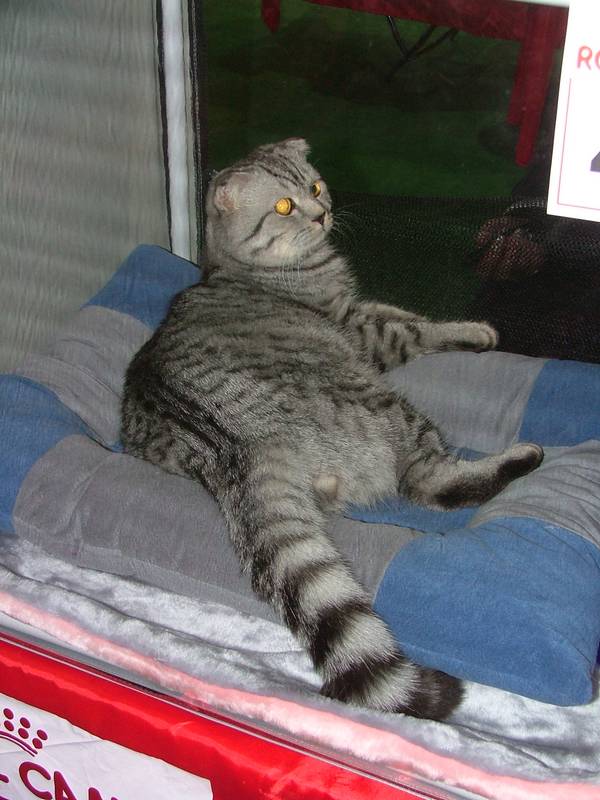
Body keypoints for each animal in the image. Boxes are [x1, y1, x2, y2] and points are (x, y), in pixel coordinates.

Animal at [121, 138, 543, 721]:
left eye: (316, 187)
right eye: (283, 205)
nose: (320, 212)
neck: (242, 265)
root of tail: (236, 444)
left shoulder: (361, 312)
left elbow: (402, 310)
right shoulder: (364, 328)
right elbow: (417, 325)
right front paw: (474, 330)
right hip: (392, 411)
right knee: (431, 484)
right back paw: (521, 458)